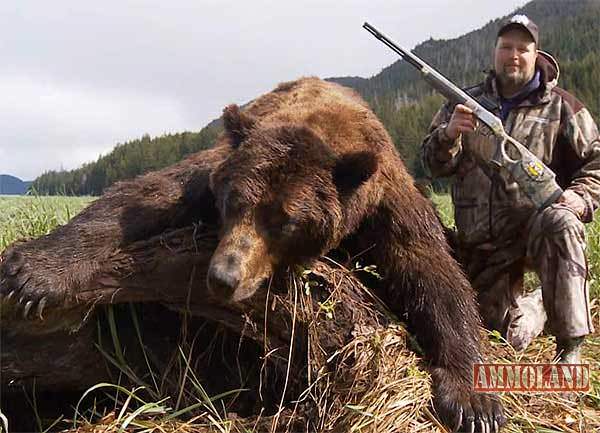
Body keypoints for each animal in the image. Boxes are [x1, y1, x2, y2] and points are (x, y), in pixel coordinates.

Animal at [0, 76, 504, 430]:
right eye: (235, 201)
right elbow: (140, 198)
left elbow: (433, 271)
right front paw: (34, 273)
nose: (223, 277)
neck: (326, 122)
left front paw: (474, 401)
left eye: (286, 220)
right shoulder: (212, 168)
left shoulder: (385, 200)